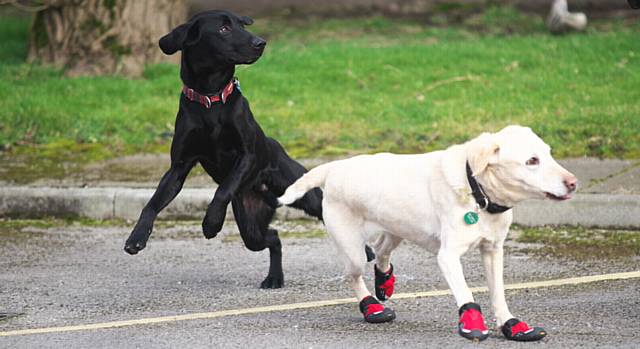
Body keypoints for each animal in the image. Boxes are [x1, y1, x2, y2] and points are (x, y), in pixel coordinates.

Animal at [124, 10, 324, 288]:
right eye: (223, 29)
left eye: (242, 25)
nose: (260, 43)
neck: (211, 98)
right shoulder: (179, 167)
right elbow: (152, 205)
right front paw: (136, 238)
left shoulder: (247, 156)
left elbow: (223, 189)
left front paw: (211, 223)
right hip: (250, 226)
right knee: (273, 237)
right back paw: (274, 277)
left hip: (302, 192)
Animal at [278, 124, 576, 340]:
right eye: (532, 161)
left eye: (549, 154)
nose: (573, 183)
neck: (476, 191)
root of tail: (336, 167)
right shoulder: (448, 256)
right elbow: (465, 293)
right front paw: (472, 324)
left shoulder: (493, 251)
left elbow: (498, 293)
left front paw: (511, 325)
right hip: (352, 251)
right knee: (354, 274)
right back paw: (372, 307)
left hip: (397, 228)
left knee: (382, 251)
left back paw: (385, 282)